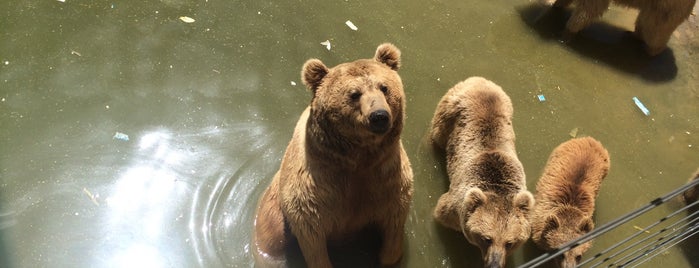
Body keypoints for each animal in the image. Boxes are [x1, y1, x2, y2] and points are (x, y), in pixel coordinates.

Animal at [254, 43, 412, 268]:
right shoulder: (317, 189)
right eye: (354, 94)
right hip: (272, 213)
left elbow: (394, 223)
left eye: (384, 87)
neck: (359, 157)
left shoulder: (387, 179)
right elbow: (311, 233)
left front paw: (387, 257)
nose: (379, 116)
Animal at [430, 76, 532, 268]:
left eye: (509, 243)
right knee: (437, 134)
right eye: (486, 238)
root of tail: (479, 80)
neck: (497, 185)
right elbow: (443, 216)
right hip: (449, 110)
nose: (495, 264)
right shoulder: (455, 207)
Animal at [548, 0, 696, 55]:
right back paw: (634, 35)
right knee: (644, 21)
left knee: (655, 29)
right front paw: (557, 4)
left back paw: (651, 51)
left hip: (666, 8)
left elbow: (588, 10)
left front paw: (566, 33)